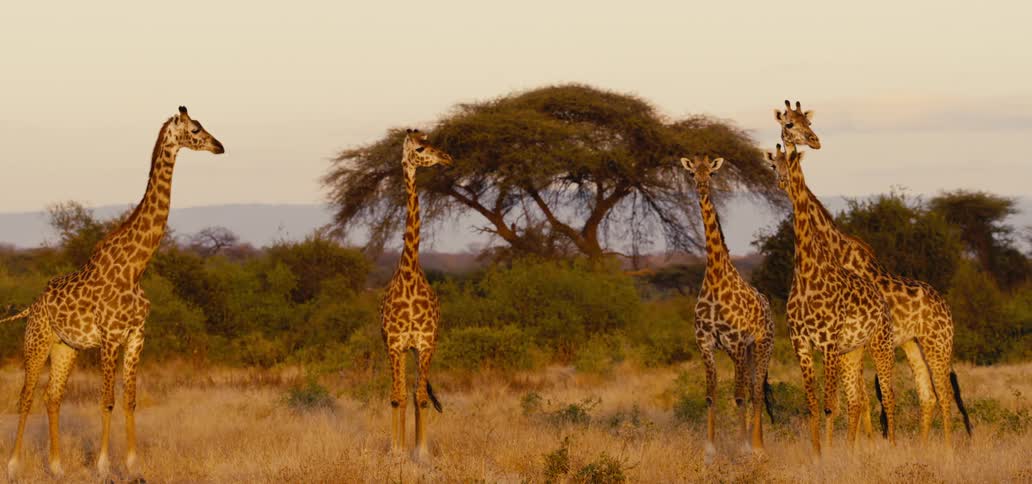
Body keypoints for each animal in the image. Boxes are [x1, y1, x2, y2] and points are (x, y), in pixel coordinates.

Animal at [2, 106, 224, 478]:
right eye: (195, 129)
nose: (219, 146)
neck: (135, 268)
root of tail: (32, 306)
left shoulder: (136, 335)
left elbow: (130, 399)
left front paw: (134, 465)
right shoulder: (108, 337)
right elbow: (106, 401)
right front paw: (104, 466)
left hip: (66, 347)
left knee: (52, 397)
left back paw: (57, 466)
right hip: (37, 341)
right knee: (26, 396)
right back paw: (14, 466)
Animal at [680, 155, 775, 462]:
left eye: (710, 172)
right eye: (691, 173)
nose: (701, 185)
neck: (714, 278)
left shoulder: (735, 343)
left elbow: (739, 395)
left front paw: (743, 447)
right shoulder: (706, 344)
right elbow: (711, 394)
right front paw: (710, 450)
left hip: (763, 344)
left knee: (756, 391)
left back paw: (758, 446)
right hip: (749, 350)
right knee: (754, 389)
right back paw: (758, 443)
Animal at [763, 143, 897, 453]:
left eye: (792, 162)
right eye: (773, 165)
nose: (783, 181)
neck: (807, 275)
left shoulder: (827, 344)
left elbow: (829, 404)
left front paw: (828, 452)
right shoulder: (801, 343)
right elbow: (813, 404)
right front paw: (817, 452)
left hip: (881, 344)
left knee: (889, 396)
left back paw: (894, 446)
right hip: (852, 351)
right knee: (858, 400)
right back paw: (851, 448)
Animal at [775, 100, 972, 445]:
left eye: (805, 123)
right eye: (788, 124)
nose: (813, 140)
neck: (834, 249)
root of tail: (944, 303)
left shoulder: (856, 343)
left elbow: (864, 398)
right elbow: (862, 399)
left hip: (937, 342)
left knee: (945, 394)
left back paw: (945, 449)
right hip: (912, 344)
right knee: (927, 396)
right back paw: (924, 447)